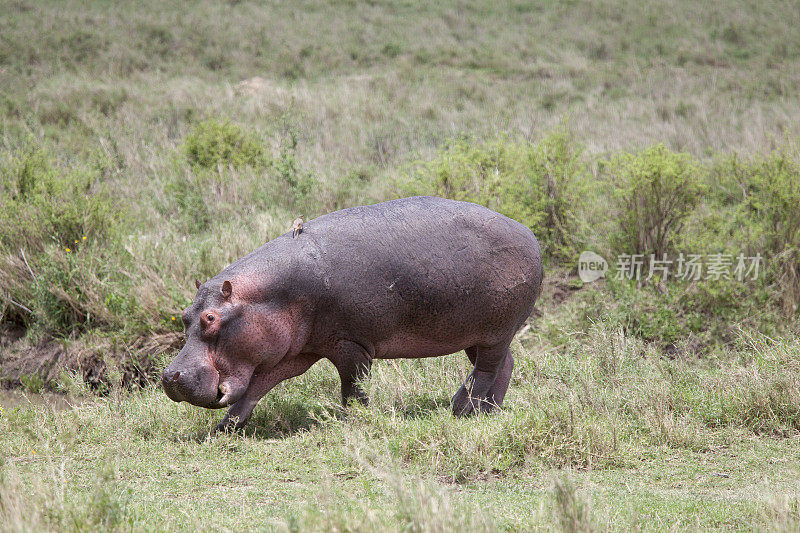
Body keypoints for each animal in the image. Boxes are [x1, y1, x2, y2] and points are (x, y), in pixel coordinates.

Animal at [162, 193, 544, 430]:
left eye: (211, 319)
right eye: (185, 315)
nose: (169, 376)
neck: (271, 294)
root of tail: (530, 233)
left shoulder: (351, 343)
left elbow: (353, 387)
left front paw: (350, 422)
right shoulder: (293, 351)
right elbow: (257, 386)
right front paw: (226, 428)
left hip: (495, 331)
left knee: (488, 368)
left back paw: (462, 410)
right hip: (475, 334)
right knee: (504, 364)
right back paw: (486, 412)